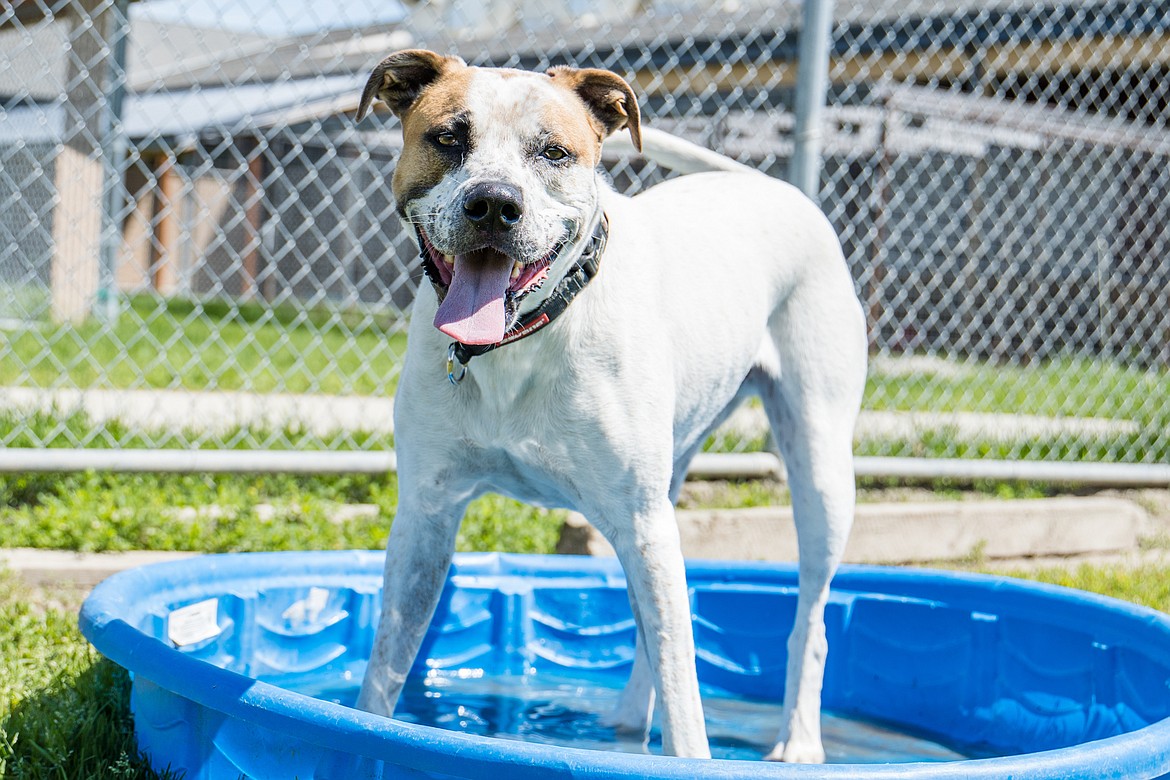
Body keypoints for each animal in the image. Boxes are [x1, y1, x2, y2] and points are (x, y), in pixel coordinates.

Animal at [351, 48, 865, 762]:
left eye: (554, 152)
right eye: (449, 138)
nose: (494, 203)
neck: (519, 337)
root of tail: (775, 187)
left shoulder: (642, 524)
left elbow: (686, 705)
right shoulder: (426, 517)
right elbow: (384, 670)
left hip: (817, 469)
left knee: (806, 619)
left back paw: (798, 743)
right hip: (667, 487)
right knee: (657, 635)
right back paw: (624, 726)